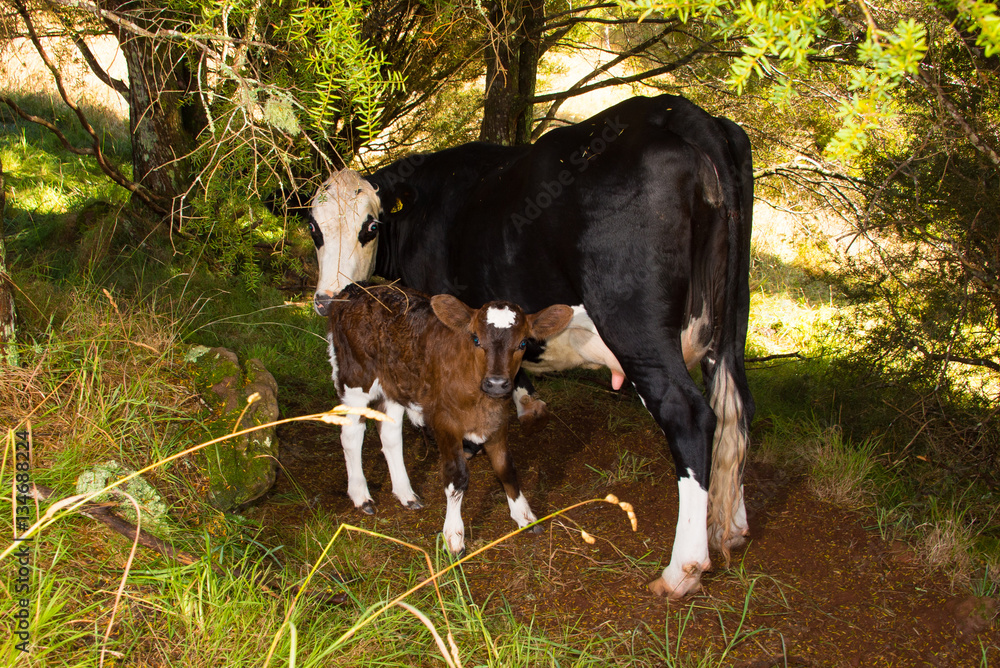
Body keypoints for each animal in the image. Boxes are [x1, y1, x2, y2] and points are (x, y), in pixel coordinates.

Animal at [326, 282, 572, 552]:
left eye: (523, 343)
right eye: (475, 338)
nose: (497, 383)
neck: (479, 398)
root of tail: (356, 289)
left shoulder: (497, 421)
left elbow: (506, 468)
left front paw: (525, 517)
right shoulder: (445, 422)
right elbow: (457, 477)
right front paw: (453, 536)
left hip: (396, 384)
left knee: (390, 435)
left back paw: (405, 494)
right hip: (355, 377)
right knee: (351, 434)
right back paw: (361, 496)